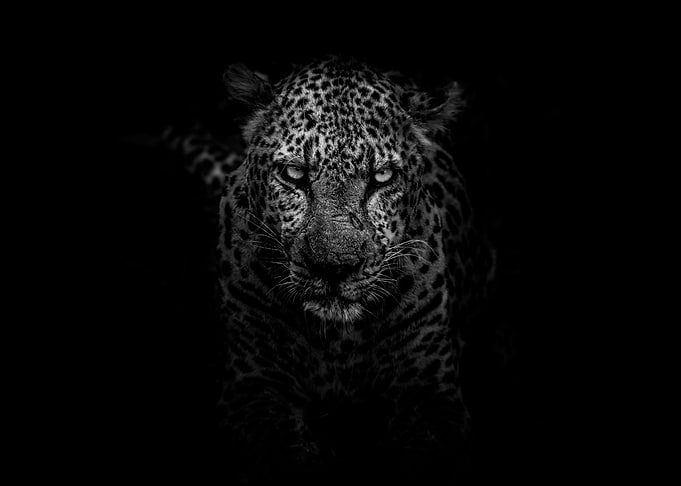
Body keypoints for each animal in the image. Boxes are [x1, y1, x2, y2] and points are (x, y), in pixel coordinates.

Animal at [163, 56, 496, 483]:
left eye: (382, 177)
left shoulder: (431, 393)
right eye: (294, 174)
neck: (339, 341)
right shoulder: (253, 385)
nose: (334, 268)